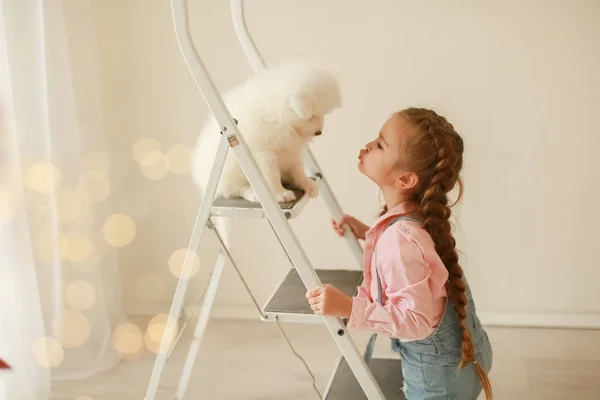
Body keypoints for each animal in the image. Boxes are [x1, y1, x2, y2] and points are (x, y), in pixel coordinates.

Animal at [192, 60, 342, 205]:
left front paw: (307, 184)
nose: (319, 132)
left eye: (322, 114)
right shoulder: (264, 155)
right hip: (231, 173)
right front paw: (280, 194)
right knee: (236, 189)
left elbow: (297, 171)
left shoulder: (291, 152)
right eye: (313, 116)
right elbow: (271, 176)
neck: (278, 117)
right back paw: (252, 194)